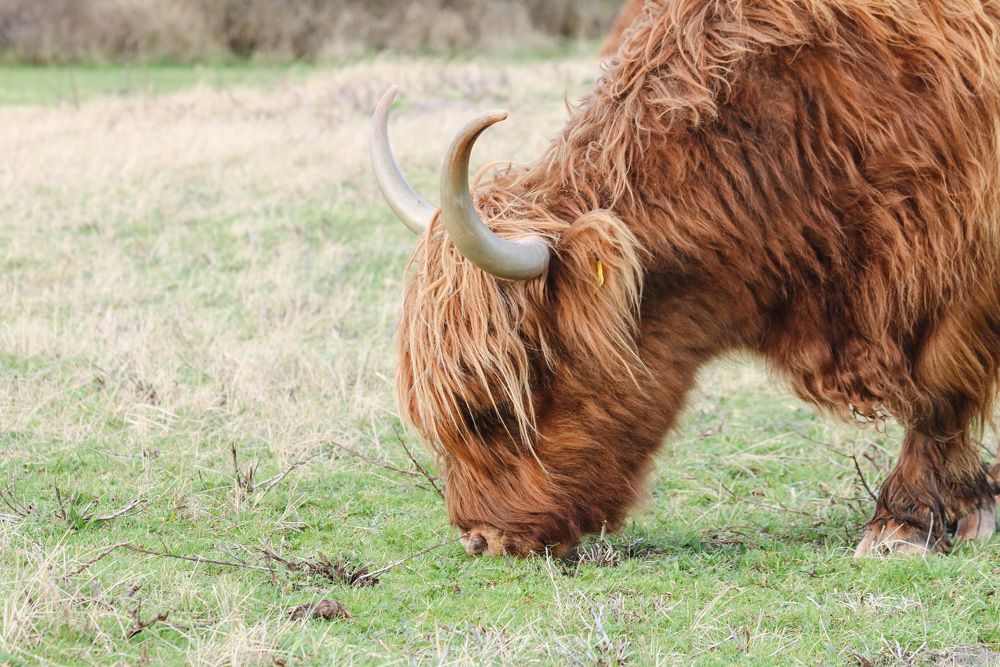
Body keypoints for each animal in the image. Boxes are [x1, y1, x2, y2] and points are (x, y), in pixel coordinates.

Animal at [370, 0, 1000, 558]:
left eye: (494, 407)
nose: (481, 540)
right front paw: (971, 502)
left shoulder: (958, 265)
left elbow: (938, 388)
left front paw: (906, 522)